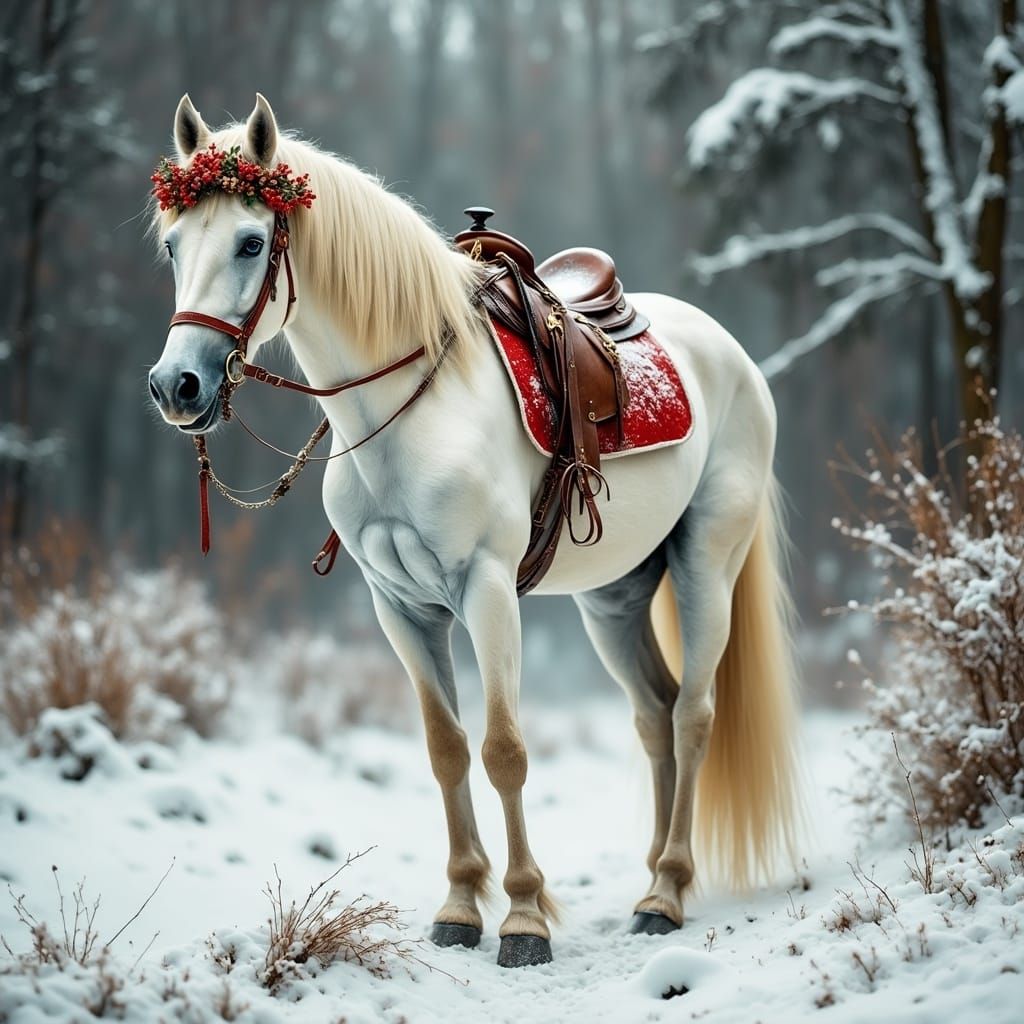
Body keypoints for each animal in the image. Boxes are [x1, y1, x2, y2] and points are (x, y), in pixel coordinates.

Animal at [148, 94, 800, 969]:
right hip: (615, 598)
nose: (176, 386)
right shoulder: (401, 607)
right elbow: (447, 748)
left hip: (706, 569)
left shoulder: (488, 592)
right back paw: (655, 881)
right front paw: (460, 908)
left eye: (251, 241)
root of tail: (731, 355)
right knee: (655, 716)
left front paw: (523, 919)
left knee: (693, 717)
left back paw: (666, 891)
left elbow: (504, 751)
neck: (413, 408)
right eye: (174, 244)